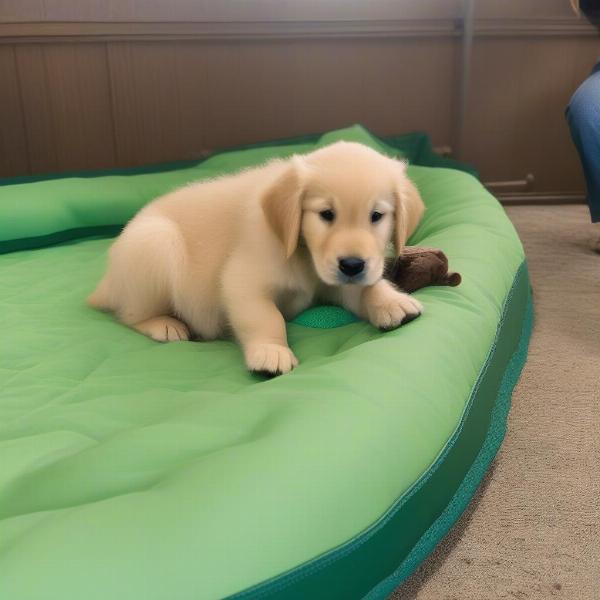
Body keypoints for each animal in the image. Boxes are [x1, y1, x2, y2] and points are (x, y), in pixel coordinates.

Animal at [90, 141, 426, 376]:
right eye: (326, 214)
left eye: (377, 216)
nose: (352, 265)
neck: (304, 253)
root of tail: (106, 284)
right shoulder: (242, 280)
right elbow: (265, 316)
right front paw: (270, 352)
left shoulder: (333, 280)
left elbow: (367, 287)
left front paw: (392, 302)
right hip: (157, 242)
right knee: (129, 314)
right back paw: (162, 324)